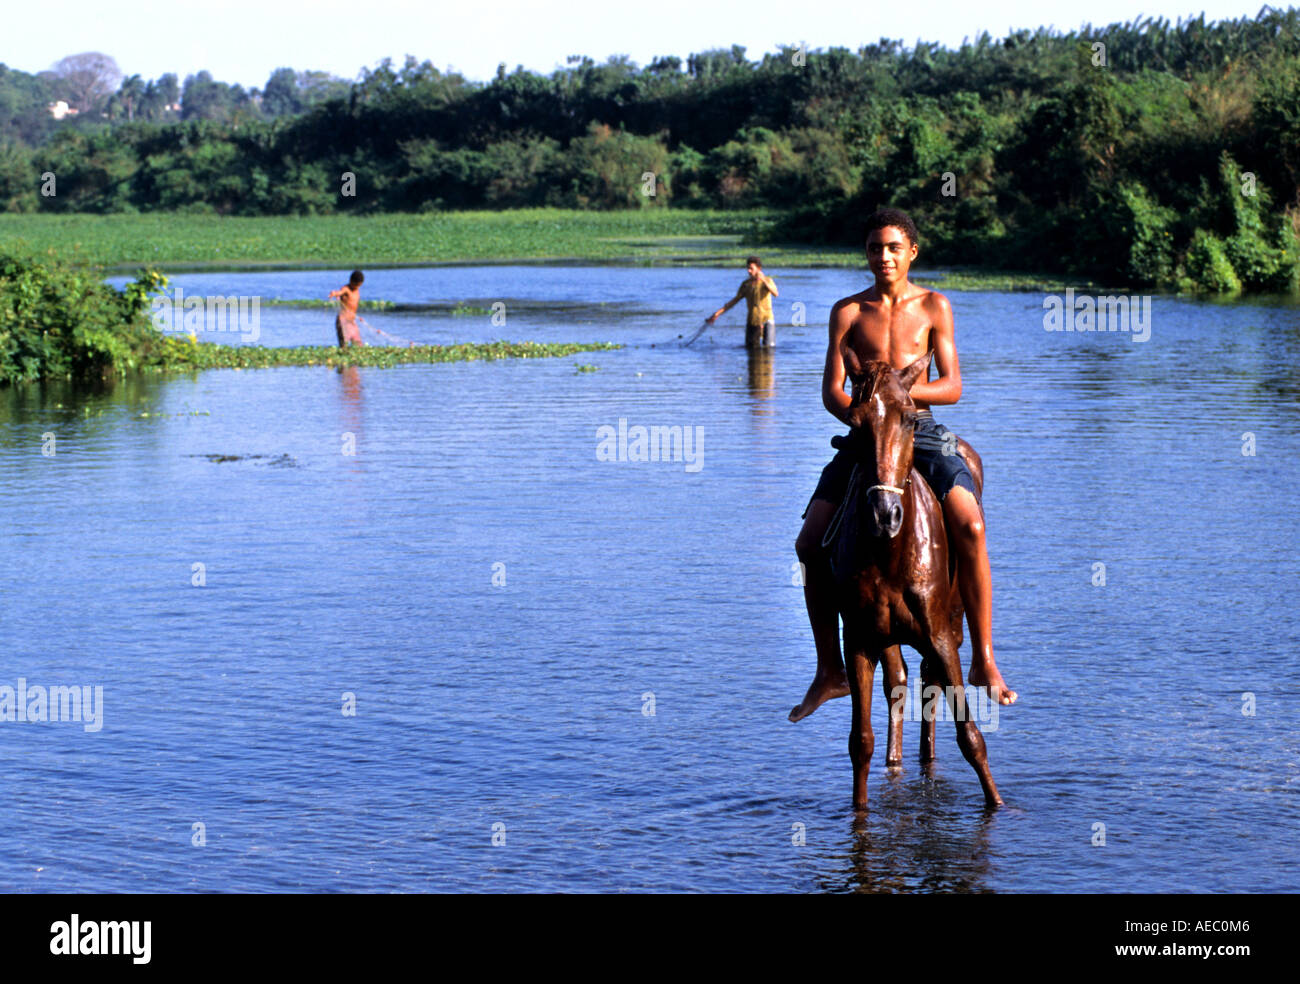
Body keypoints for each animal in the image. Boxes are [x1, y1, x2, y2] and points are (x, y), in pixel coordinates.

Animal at [826, 350, 998, 805]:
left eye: (907, 418)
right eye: (855, 423)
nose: (884, 515)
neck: (890, 554)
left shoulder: (940, 636)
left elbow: (971, 737)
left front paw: (999, 804)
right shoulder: (860, 640)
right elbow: (860, 742)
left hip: (952, 625)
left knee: (930, 682)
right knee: (901, 682)